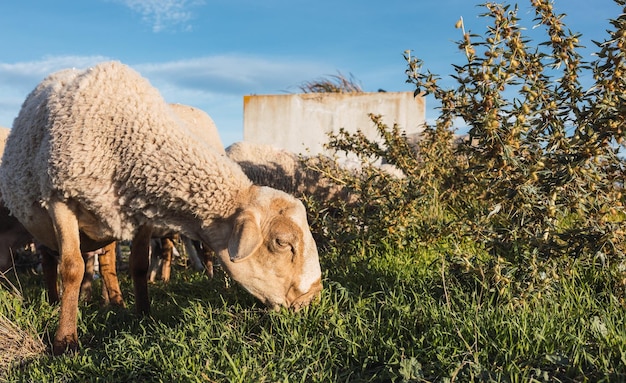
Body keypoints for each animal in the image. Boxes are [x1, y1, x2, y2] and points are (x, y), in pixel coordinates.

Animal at [0, 60, 322, 356]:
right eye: (282, 243)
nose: (313, 299)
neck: (127, 134)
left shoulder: (139, 211)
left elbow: (140, 265)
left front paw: (143, 315)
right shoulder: (60, 198)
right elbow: (71, 268)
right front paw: (65, 340)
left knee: (106, 261)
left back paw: (113, 300)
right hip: (41, 215)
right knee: (49, 258)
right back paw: (55, 299)